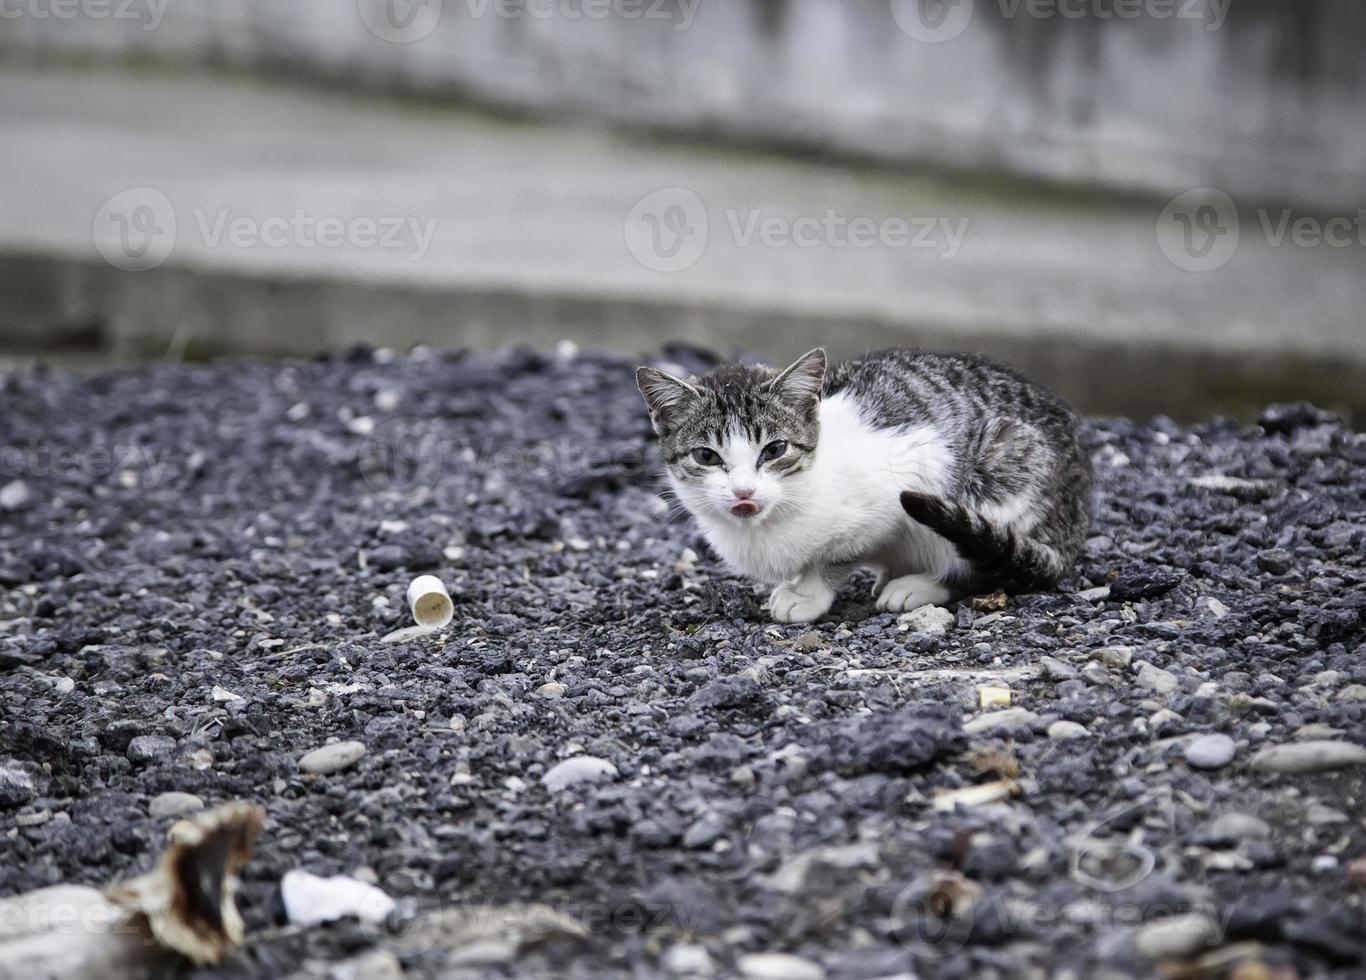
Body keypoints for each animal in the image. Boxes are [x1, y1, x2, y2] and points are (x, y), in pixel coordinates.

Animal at [633, 348, 1092, 623]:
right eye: (707, 456)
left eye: (775, 449)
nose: (744, 492)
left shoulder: (899, 486)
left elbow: (835, 557)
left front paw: (807, 593)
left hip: (997, 474)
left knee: (984, 559)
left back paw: (916, 584)